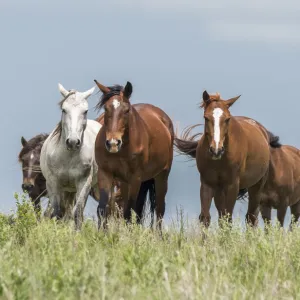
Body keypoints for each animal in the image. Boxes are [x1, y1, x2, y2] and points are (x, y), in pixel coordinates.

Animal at [40, 83, 101, 229]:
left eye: (85, 111)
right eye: (64, 110)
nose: (73, 142)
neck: (68, 157)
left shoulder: (84, 183)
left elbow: (77, 213)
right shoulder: (53, 183)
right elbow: (57, 213)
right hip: (68, 190)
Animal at [94, 79, 173, 230]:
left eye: (126, 110)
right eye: (106, 108)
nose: (113, 143)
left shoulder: (135, 178)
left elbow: (129, 212)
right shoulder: (105, 173)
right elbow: (103, 209)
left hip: (162, 176)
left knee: (159, 209)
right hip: (124, 182)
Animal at [175, 90, 280, 226]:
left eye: (227, 119)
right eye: (206, 117)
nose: (216, 150)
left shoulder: (232, 185)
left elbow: (228, 218)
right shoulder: (207, 184)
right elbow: (205, 218)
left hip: (256, 187)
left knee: (251, 217)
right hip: (219, 191)